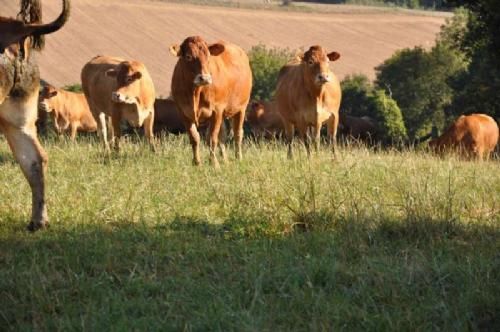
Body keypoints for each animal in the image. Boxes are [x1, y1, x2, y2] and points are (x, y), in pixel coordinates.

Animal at [170, 36, 252, 167]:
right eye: (188, 56)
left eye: (208, 56)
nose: (205, 78)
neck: (195, 93)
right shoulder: (183, 113)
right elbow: (195, 138)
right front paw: (197, 163)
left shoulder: (217, 111)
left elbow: (212, 138)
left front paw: (214, 163)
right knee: (222, 136)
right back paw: (225, 159)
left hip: (241, 108)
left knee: (238, 133)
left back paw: (238, 158)